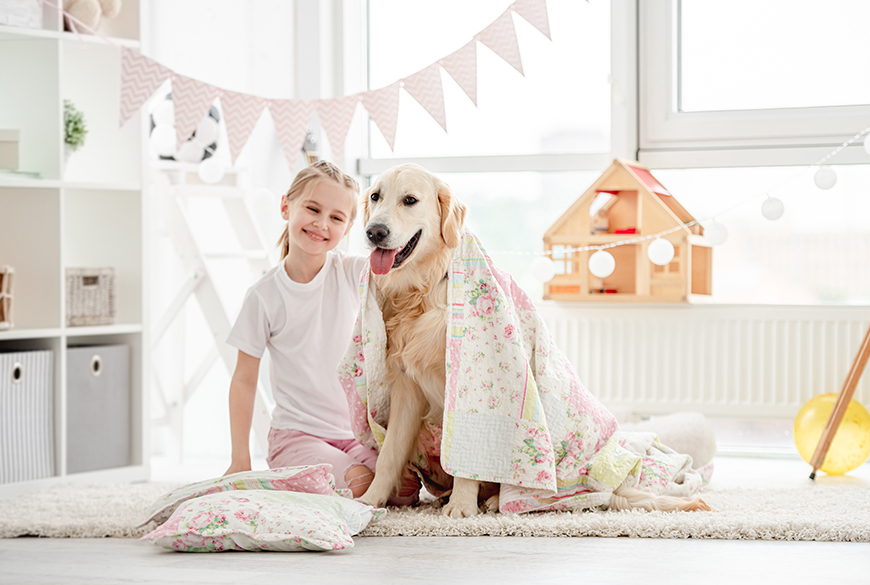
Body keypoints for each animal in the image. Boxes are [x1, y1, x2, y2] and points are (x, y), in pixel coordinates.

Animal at [358, 163, 710, 517]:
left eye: (410, 200)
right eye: (375, 196)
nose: (374, 232)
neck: (425, 290)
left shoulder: (467, 385)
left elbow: (466, 454)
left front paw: (461, 506)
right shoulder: (407, 388)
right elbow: (389, 455)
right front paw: (370, 501)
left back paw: (498, 500)